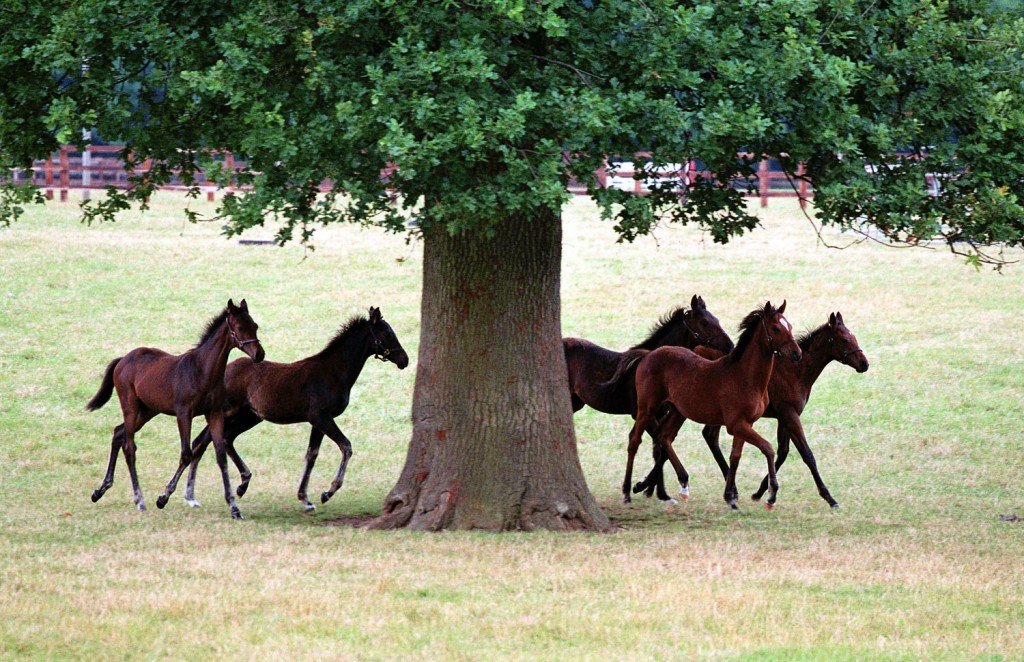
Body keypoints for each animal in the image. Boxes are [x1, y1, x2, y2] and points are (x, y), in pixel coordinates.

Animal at [86, 299, 266, 520]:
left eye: (255, 325)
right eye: (240, 327)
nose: (259, 354)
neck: (202, 370)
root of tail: (122, 359)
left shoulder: (214, 414)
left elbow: (220, 455)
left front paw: (234, 507)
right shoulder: (183, 414)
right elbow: (186, 454)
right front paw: (163, 497)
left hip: (148, 410)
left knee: (118, 433)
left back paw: (100, 490)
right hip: (130, 407)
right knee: (129, 447)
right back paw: (140, 500)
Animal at [167, 307, 407, 514]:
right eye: (386, 333)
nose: (404, 360)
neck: (333, 372)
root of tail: (222, 371)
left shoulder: (317, 421)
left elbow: (312, 454)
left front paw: (305, 498)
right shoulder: (321, 417)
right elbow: (346, 446)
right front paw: (327, 492)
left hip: (250, 416)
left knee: (224, 439)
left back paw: (236, 485)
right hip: (228, 412)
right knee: (202, 441)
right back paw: (190, 495)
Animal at [622, 303, 798, 510]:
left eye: (790, 326)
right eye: (775, 328)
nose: (797, 353)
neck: (745, 376)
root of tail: (649, 354)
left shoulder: (746, 424)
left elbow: (735, 457)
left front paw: (730, 497)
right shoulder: (736, 424)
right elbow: (767, 448)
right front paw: (771, 496)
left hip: (677, 411)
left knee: (664, 437)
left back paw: (678, 484)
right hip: (647, 408)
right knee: (635, 440)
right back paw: (627, 491)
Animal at [634, 311, 868, 508]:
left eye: (853, 337)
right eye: (844, 340)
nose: (864, 364)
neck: (795, 370)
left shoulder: (782, 417)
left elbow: (782, 451)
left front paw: (760, 491)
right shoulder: (788, 414)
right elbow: (805, 454)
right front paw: (829, 498)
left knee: (679, 438)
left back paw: (650, 486)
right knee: (672, 438)